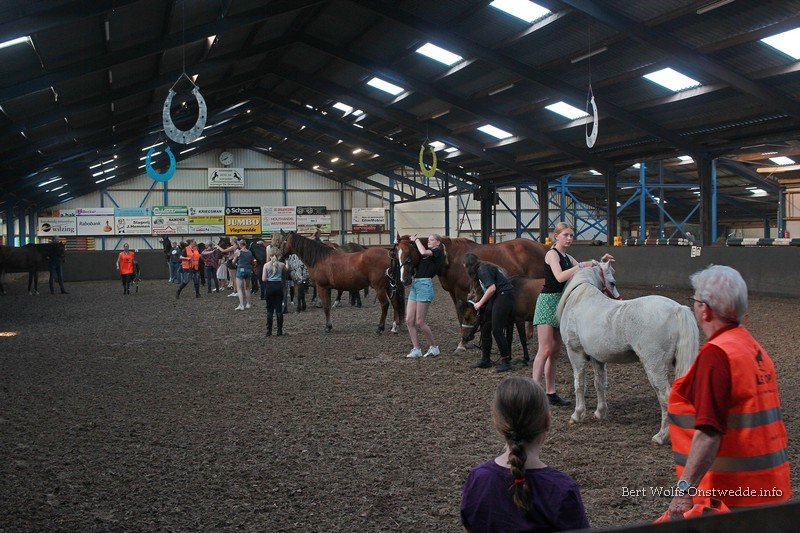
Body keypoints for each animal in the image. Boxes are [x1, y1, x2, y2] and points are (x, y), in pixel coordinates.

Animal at [274, 231, 404, 333]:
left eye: (284, 241)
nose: (280, 258)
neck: (320, 258)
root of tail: (389, 255)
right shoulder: (328, 288)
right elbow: (327, 307)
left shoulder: (322, 287)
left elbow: (326, 306)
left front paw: (328, 327)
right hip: (389, 286)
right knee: (395, 303)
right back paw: (395, 326)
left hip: (379, 287)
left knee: (385, 304)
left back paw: (380, 328)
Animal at [394, 235, 548, 351]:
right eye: (397, 255)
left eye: (409, 255)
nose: (404, 279)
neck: (451, 259)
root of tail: (543, 247)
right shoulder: (454, 293)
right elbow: (460, 314)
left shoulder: (462, 292)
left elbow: (465, 313)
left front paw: (463, 342)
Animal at [556, 261, 699, 445]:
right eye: (612, 282)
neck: (580, 301)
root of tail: (677, 308)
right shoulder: (597, 358)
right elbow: (599, 384)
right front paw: (600, 413)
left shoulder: (575, 353)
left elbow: (579, 384)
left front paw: (577, 415)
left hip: (655, 367)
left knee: (665, 397)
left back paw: (661, 436)